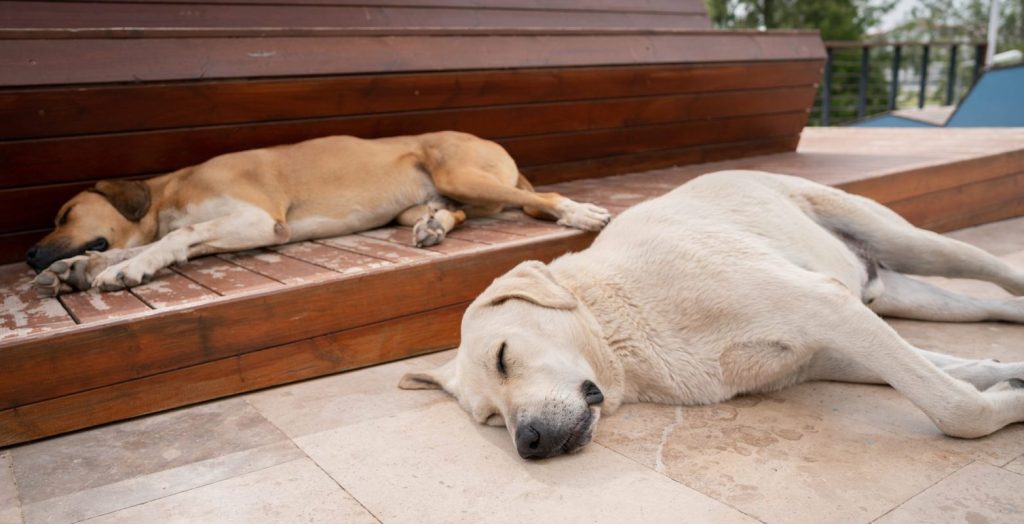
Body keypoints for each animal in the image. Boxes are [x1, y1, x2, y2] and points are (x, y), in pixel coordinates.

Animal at [29, 129, 606, 296]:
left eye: (65, 212)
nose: (31, 254)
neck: (169, 190)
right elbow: (144, 244)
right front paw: (78, 268)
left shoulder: (260, 220)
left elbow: (175, 237)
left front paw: (125, 269)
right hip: (429, 200)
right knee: (456, 214)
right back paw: (433, 226)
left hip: (460, 173)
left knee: (540, 200)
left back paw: (581, 213)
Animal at [399, 170, 1024, 458]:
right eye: (489, 419)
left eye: (503, 358)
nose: (526, 443)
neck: (621, 319)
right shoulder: (836, 349)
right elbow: (959, 370)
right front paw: (1010, 381)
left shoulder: (824, 305)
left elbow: (956, 408)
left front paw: (1001, 407)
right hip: (909, 297)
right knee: (994, 307)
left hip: (918, 244)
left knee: (997, 271)